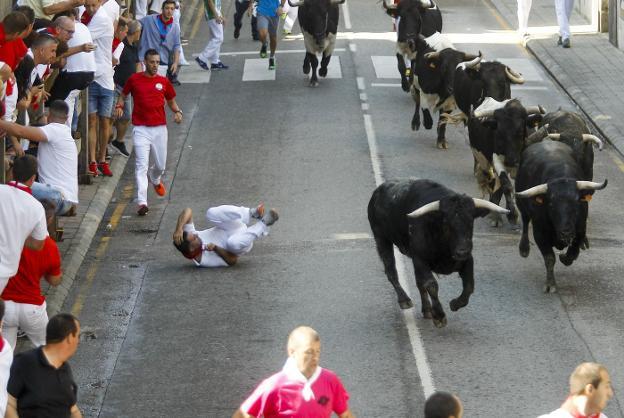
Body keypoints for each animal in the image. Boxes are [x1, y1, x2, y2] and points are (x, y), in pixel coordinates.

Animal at [368, 178, 510, 328]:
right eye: (446, 223)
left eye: (471, 221)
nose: (462, 251)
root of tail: (378, 191)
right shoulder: (420, 259)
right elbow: (431, 285)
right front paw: (439, 316)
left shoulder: (467, 260)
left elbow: (469, 286)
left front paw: (454, 304)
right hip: (382, 240)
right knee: (391, 271)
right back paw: (404, 300)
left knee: (418, 282)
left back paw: (426, 310)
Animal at [516, 142, 608, 292]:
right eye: (551, 203)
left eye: (577, 201)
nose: (566, 231)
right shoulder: (540, 233)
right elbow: (549, 258)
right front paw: (550, 284)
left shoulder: (580, 230)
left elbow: (572, 253)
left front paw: (565, 257)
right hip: (521, 204)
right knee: (524, 221)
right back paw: (524, 248)